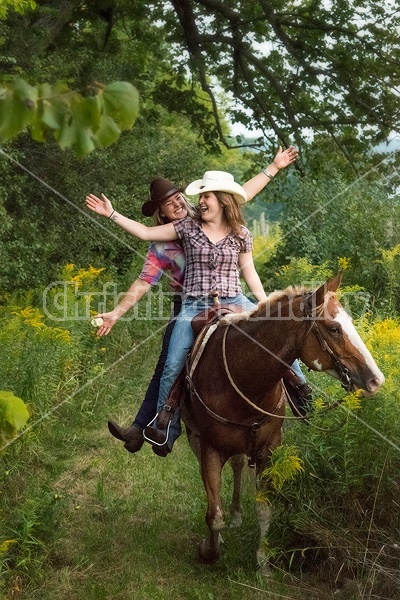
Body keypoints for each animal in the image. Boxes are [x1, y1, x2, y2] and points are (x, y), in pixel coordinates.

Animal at [181, 274, 384, 568]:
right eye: (334, 328)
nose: (376, 380)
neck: (245, 376)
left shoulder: (268, 449)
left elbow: (265, 509)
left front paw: (263, 562)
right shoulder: (210, 449)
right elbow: (213, 515)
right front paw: (209, 551)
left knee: (238, 464)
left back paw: (237, 514)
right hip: (194, 436)